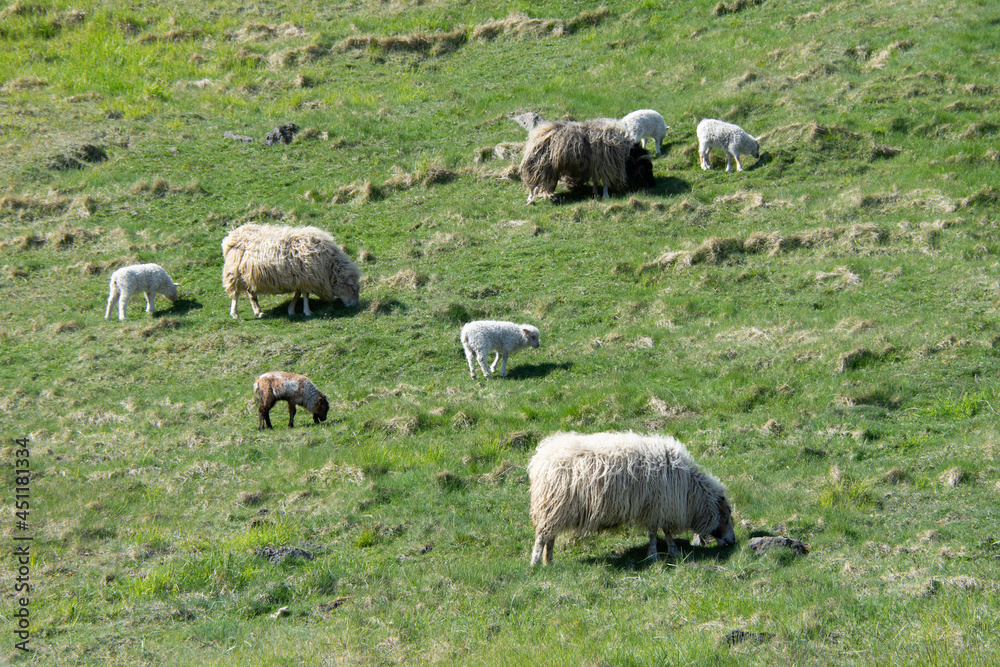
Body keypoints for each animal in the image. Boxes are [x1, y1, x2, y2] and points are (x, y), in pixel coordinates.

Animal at [222, 224, 361, 319]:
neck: (328, 266)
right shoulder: (307, 277)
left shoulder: (300, 278)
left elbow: (298, 294)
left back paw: (258, 311)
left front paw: (291, 310)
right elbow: (305, 295)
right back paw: (234, 313)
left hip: (248, 276)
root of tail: (232, 236)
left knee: (251, 294)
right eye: (353, 289)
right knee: (235, 294)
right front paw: (307, 311)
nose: (354, 305)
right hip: (234, 273)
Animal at [519, 120, 654, 204]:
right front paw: (605, 195)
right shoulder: (606, 166)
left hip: (549, 169)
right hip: (539, 166)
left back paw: (551, 196)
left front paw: (595, 193)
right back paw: (530, 200)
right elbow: (605, 181)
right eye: (646, 168)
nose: (652, 184)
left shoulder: (596, 166)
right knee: (533, 185)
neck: (627, 153)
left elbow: (595, 180)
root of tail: (535, 136)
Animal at [528, 431, 736, 566]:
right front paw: (660, 554)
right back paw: (535, 564)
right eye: (726, 517)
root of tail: (541, 458)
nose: (733, 541)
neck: (690, 492)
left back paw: (549, 563)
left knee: (550, 538)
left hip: (555, 510)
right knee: (541, 537)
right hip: (551, 507)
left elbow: (661, 531)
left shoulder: (659, 507)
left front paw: (668, 552)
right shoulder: (660, 506)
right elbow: (659, 532)